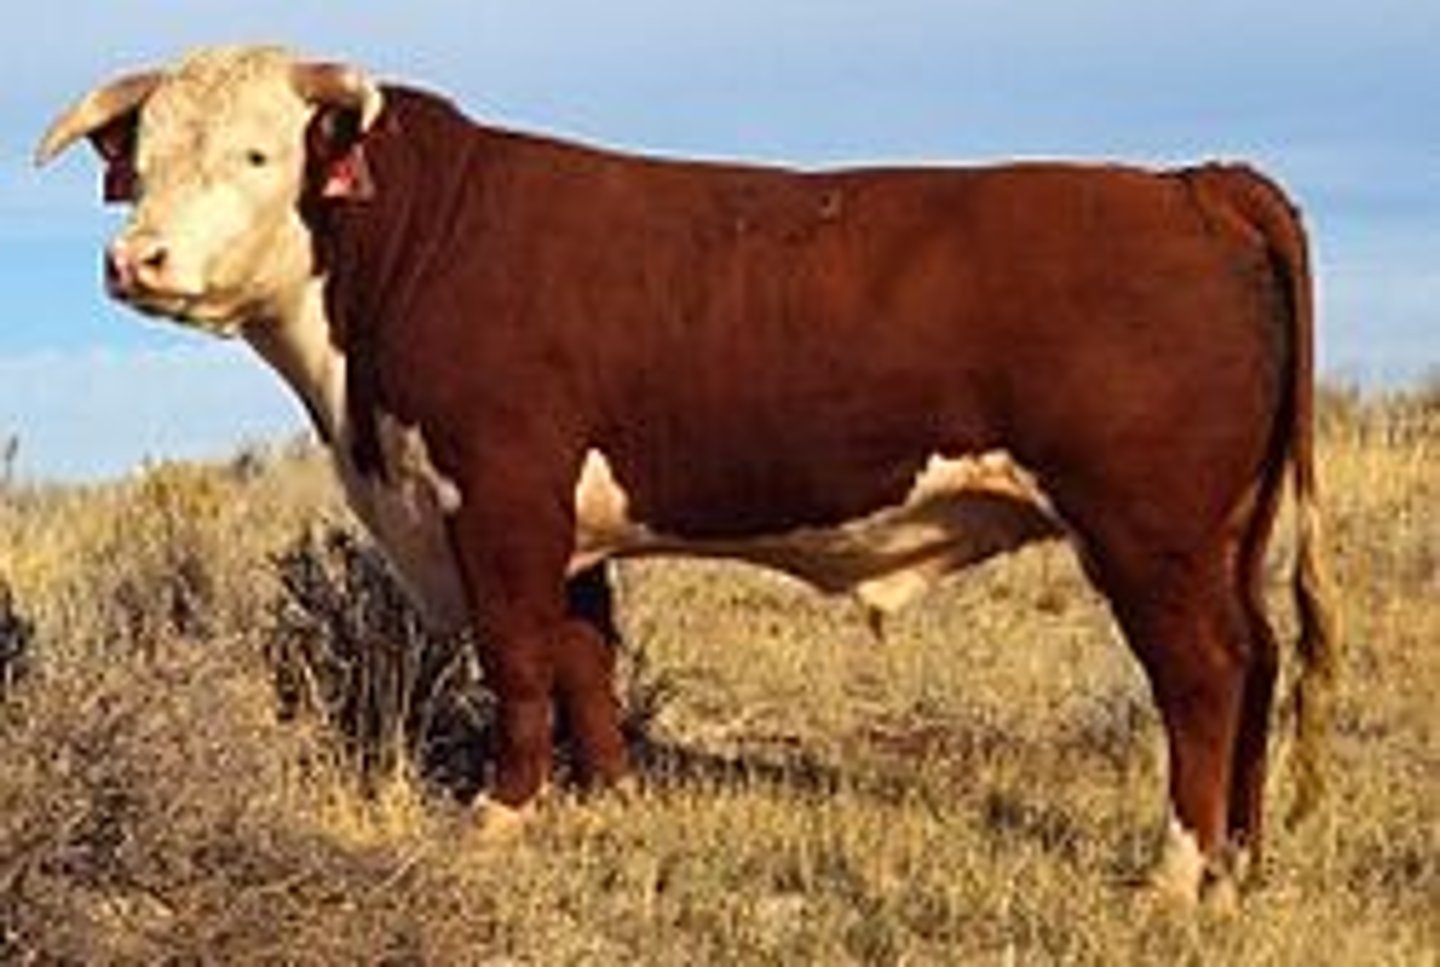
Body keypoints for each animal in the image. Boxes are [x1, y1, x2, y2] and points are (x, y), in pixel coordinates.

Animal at [38, 45, 1337, 903]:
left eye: (259, 151)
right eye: (142, 161)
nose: (137, 259)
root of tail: (1193, 183)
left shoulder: (500, 495)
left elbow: (519, 663)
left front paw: (498, 816)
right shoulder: (561, 525)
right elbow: (586, 664)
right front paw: (608, 798)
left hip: (1148, 530)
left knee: (1204, 675)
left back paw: (1175, 872)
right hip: (1225, 532)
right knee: (1261, 658)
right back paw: (1241, 864)